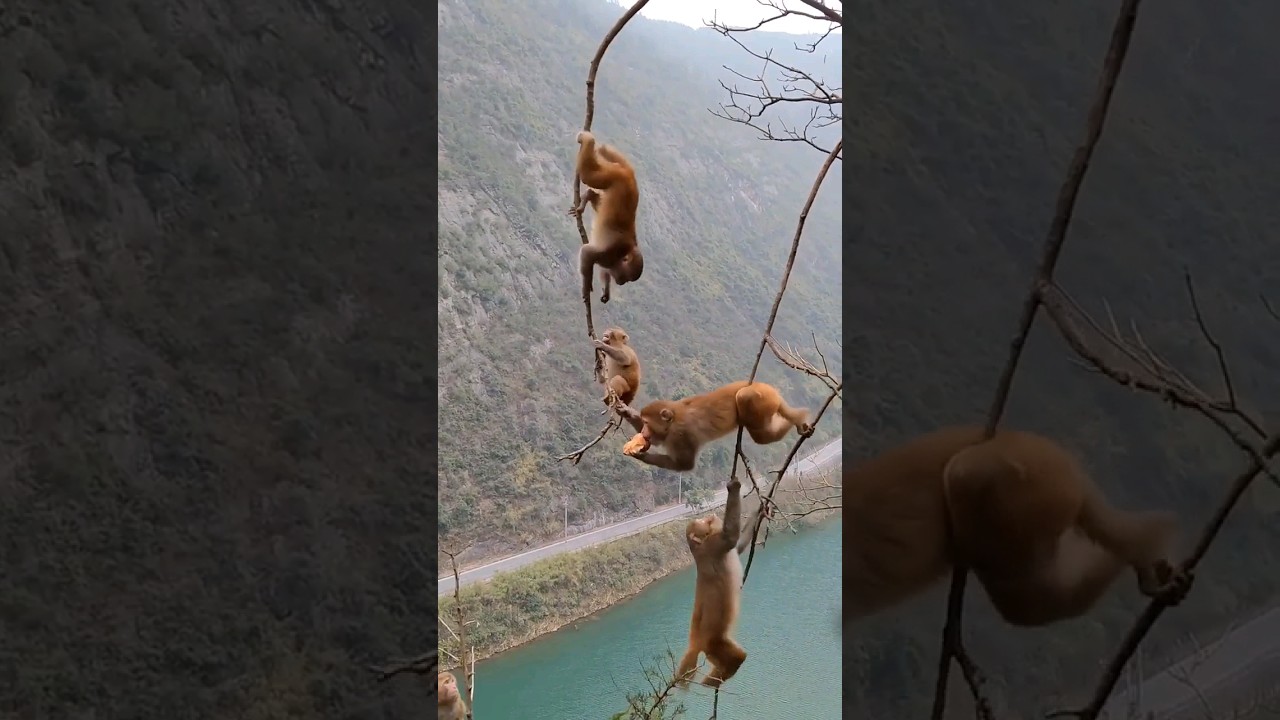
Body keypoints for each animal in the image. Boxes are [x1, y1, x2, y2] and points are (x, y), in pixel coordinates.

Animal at [567, 131, 643, 304]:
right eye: (627, 277)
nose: (621, 283)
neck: (623, 254)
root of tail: (629, 174)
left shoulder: (610, 261)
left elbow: (604, 269)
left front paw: (606, 292)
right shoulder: (610, 251)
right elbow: (588, 253)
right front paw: (586, 286)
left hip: (615, 183)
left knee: (600, 200)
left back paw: (587, 197)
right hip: (613, 176)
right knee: (588, 175)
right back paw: (586, 138)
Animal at [621, 380, 811, 472]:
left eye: (647, 423)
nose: (644, 431)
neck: (675, 418)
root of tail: (772, 391)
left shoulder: (680, 435)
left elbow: (684, 464)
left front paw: (640, 456)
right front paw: (626, 412)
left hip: (762, 400)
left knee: (757, 427)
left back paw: (798, 417)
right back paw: (798, 418)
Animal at [674, 476, 760, 689]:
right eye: (702, 521)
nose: (708, 516)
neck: (701, 547)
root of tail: (697, 641)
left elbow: (738, 547)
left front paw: (760, 510)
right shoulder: (715, 545)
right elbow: (731, 536)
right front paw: (734, 487)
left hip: (713, 644)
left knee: (738, 656)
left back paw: (714, 678)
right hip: (713, 642)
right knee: (737, 656)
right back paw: (715, 679)